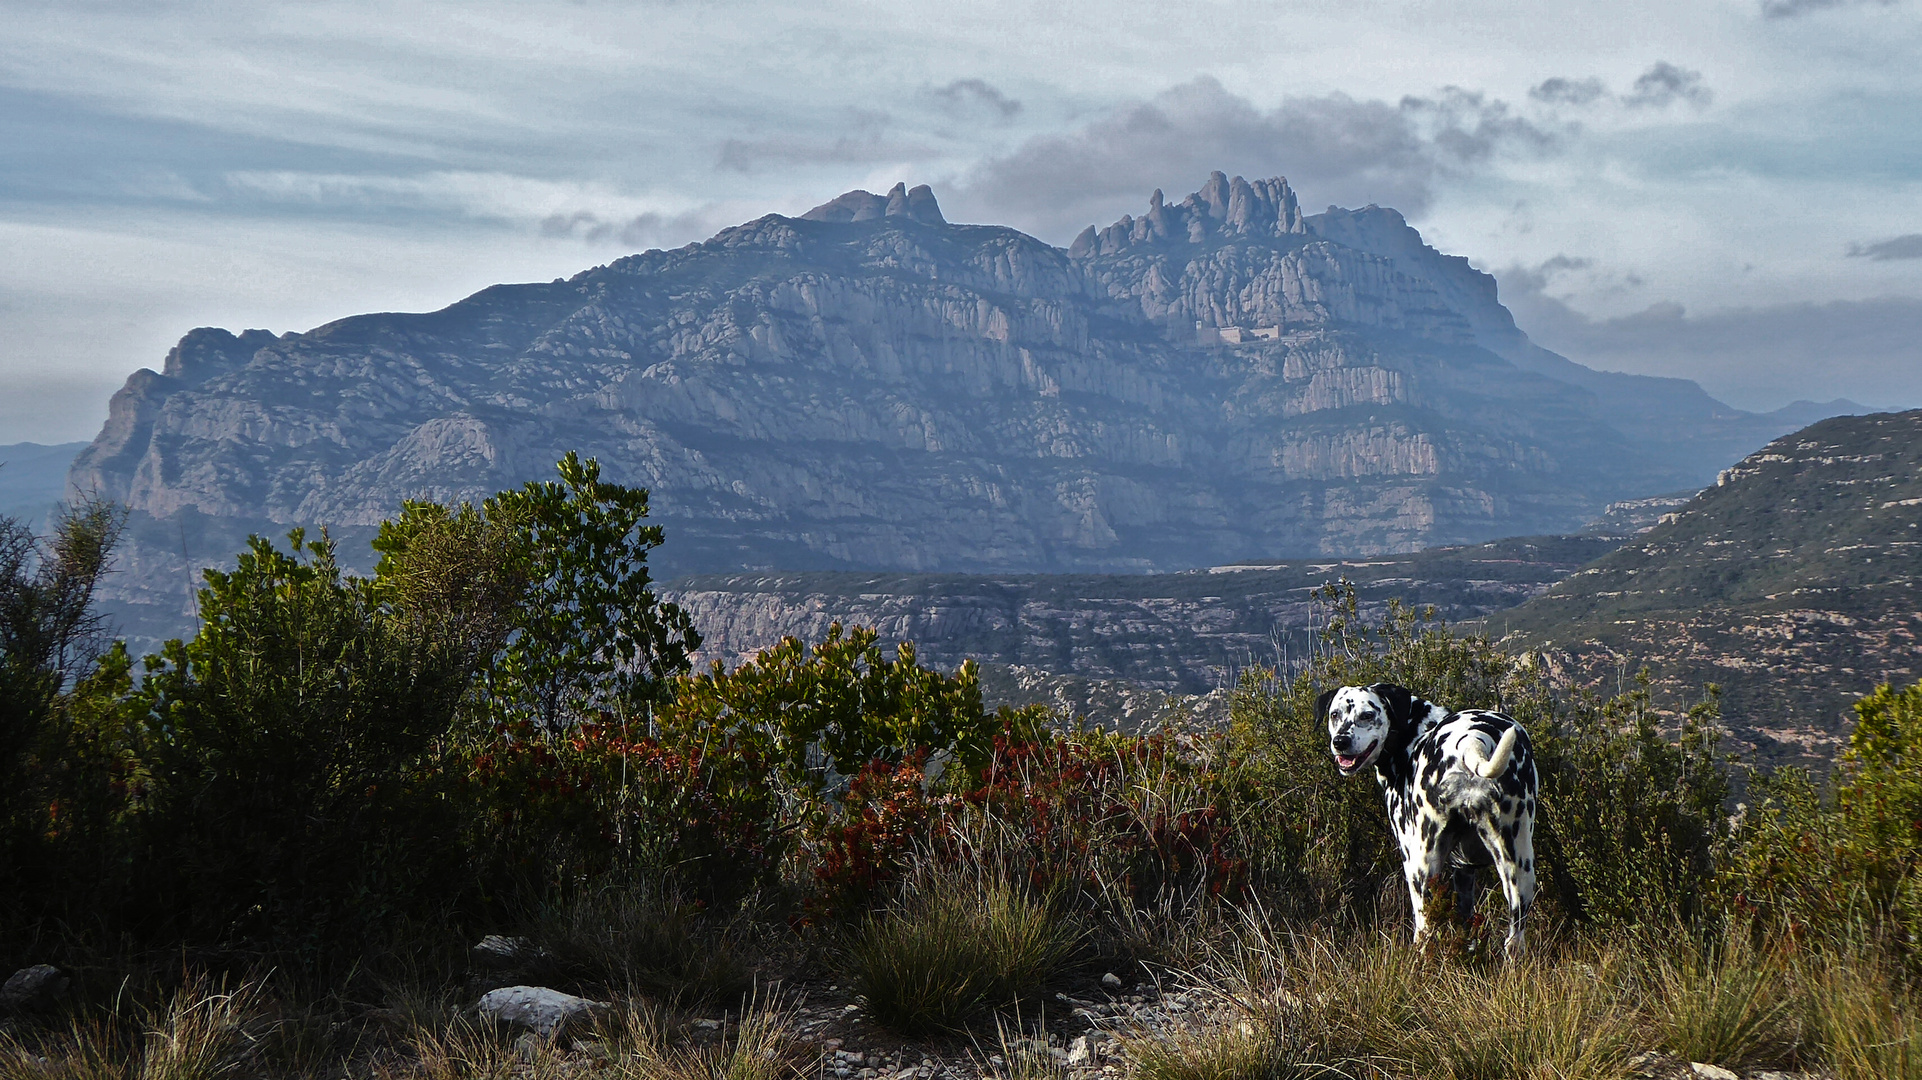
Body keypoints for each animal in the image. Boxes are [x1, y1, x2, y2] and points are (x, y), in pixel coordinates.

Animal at [1314, 676, 1537, 953]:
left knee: (1425, 931)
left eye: (1367, 715)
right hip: (1518, 869)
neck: (1415, 732)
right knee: (1514, 940)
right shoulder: (1464, 873)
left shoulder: (1411, 859)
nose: (1340, 742)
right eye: (1335, 714)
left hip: (1423, 868)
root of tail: (1472, 738)